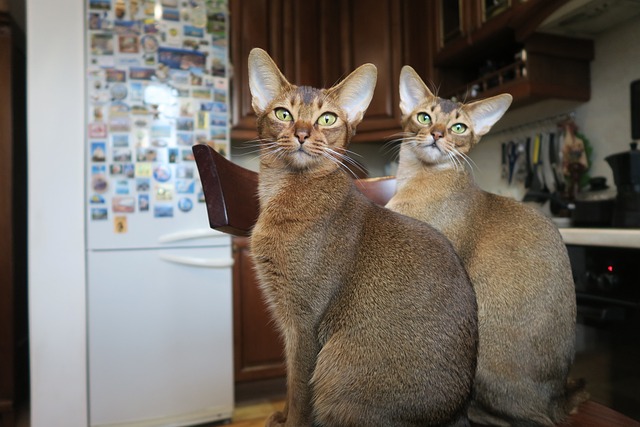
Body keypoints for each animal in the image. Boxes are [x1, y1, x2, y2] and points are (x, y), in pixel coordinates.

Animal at [248, 47, 478, 427]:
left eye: (327, 119)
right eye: (283, 113)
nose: (301, 133)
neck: (285, 191)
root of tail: (456, 413)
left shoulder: (303, 321)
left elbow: (299, 388)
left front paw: (289, 421)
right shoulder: (287, 318)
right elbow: (290, 383)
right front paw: (278, 416)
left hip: (335, 368)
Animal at [384, 65, 592, 426]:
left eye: (458, 127)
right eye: (424, 117)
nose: (437, 134)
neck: (417, 177)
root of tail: (556, 397)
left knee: (528, 419)